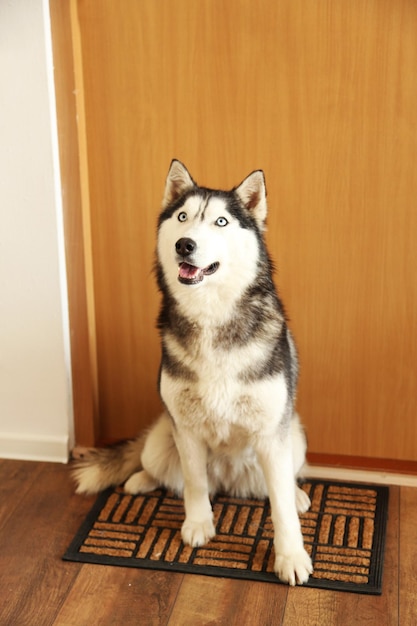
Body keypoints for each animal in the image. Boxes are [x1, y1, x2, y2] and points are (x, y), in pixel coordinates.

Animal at [72, 160, 312, 584]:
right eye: (182, 217)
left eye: (221, 221)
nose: (185, 244)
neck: (211, 315)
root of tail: (230, 479)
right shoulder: (186, 428)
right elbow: (194, 483)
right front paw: (199, 524)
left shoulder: (272, 433)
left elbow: (280, 506)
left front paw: (291, 556)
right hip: (160, 439)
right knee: (163, 470)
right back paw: (139, 480)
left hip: (294, 437)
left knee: (285, 479)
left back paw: (298, 493)